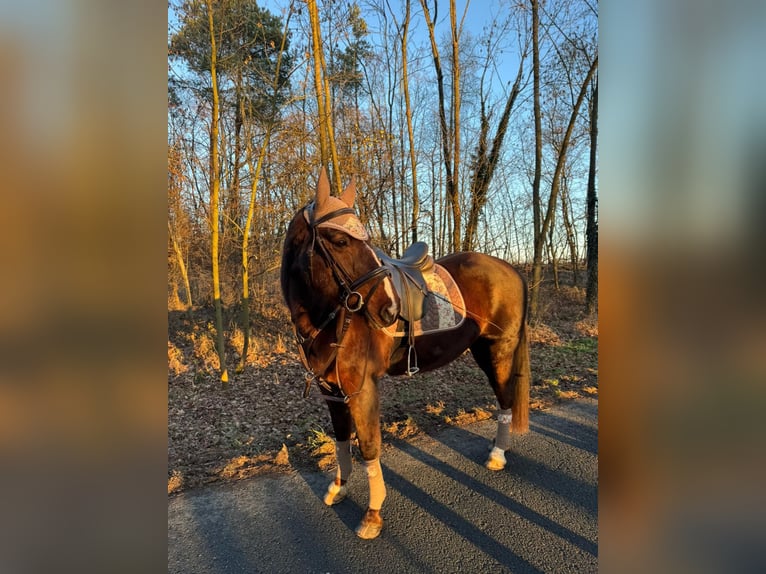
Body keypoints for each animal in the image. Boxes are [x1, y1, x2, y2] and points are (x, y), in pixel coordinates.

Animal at [280, 167, 530, 539]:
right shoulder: (332, 391)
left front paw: (373, 514)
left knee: (505, 397)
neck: (330, 317)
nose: (389, 310)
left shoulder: (363, 389)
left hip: (497, 350)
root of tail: (511, 268)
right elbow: (341, 441)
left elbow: (369, 446)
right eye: (340, 241)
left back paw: (498, 454)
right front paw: (339, 488)